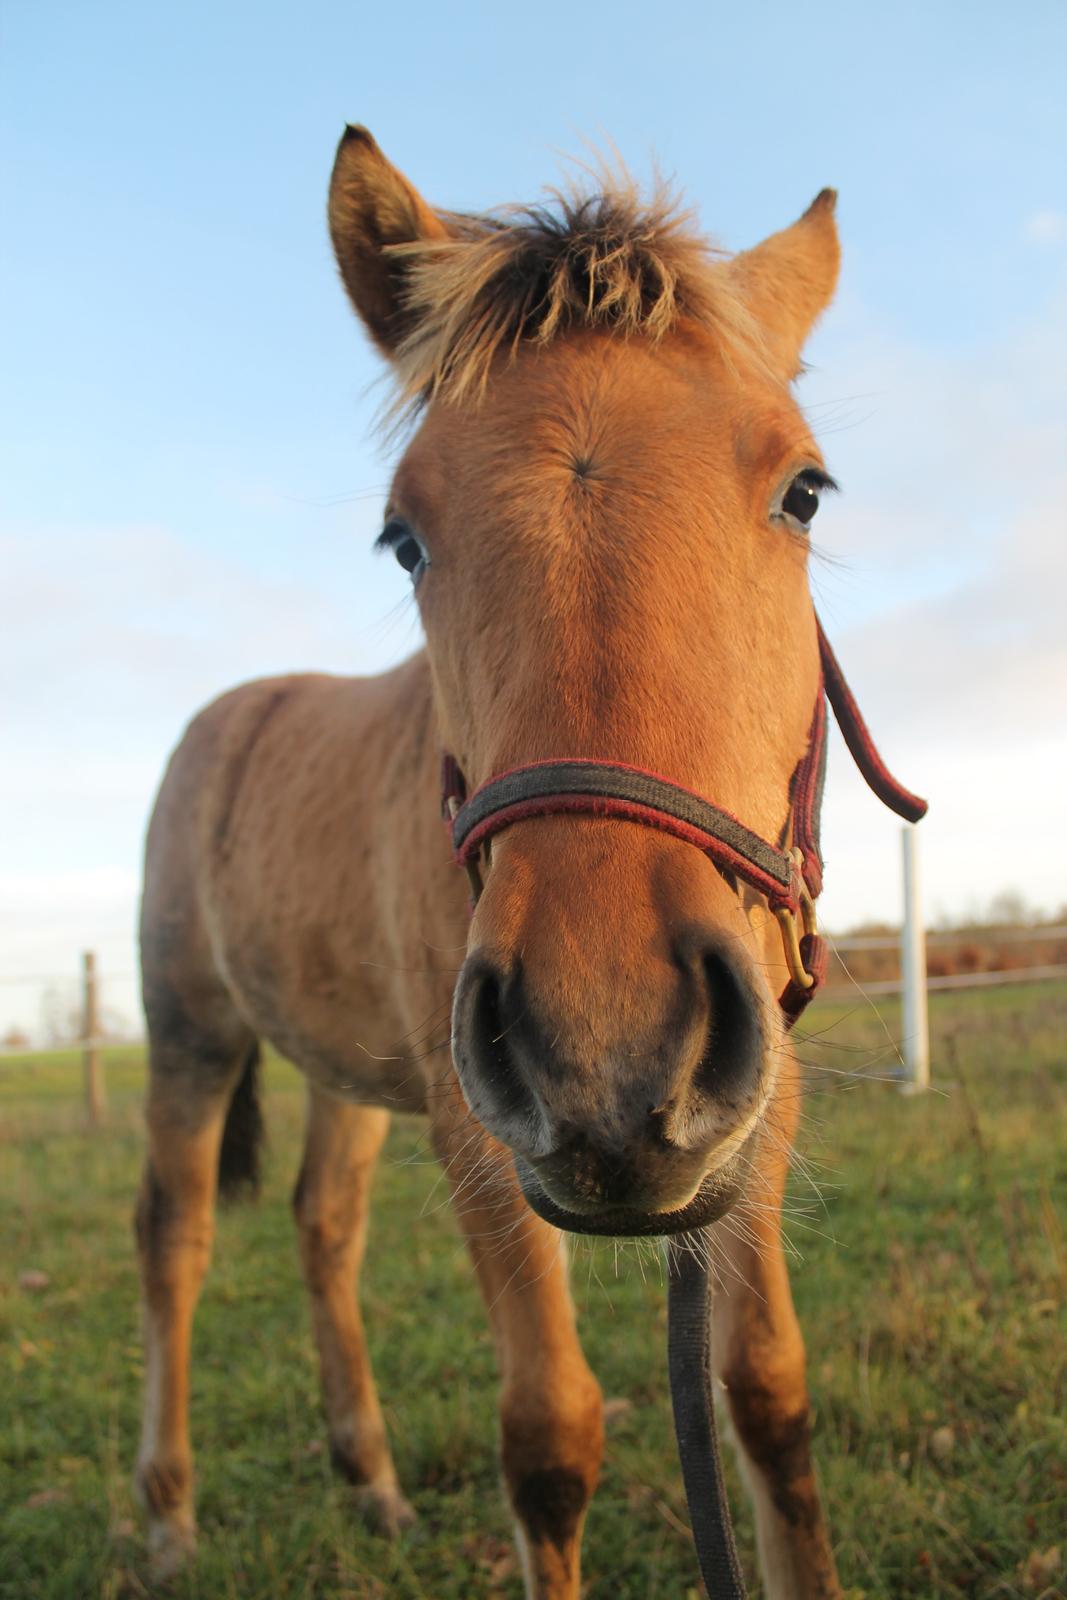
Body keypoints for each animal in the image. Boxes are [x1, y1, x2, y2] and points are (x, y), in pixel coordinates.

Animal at [135, 128, 851, 1600]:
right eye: (402, 534)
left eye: (802, 490)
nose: (608, 1050)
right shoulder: (482, 1131)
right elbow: (551, 1438)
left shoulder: (761, 1104)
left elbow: (767, 1397)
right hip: (191, 1034)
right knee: (174, 1243)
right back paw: (168, 1513)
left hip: (354, 1068)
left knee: (322, 1227)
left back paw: (370, 1481)